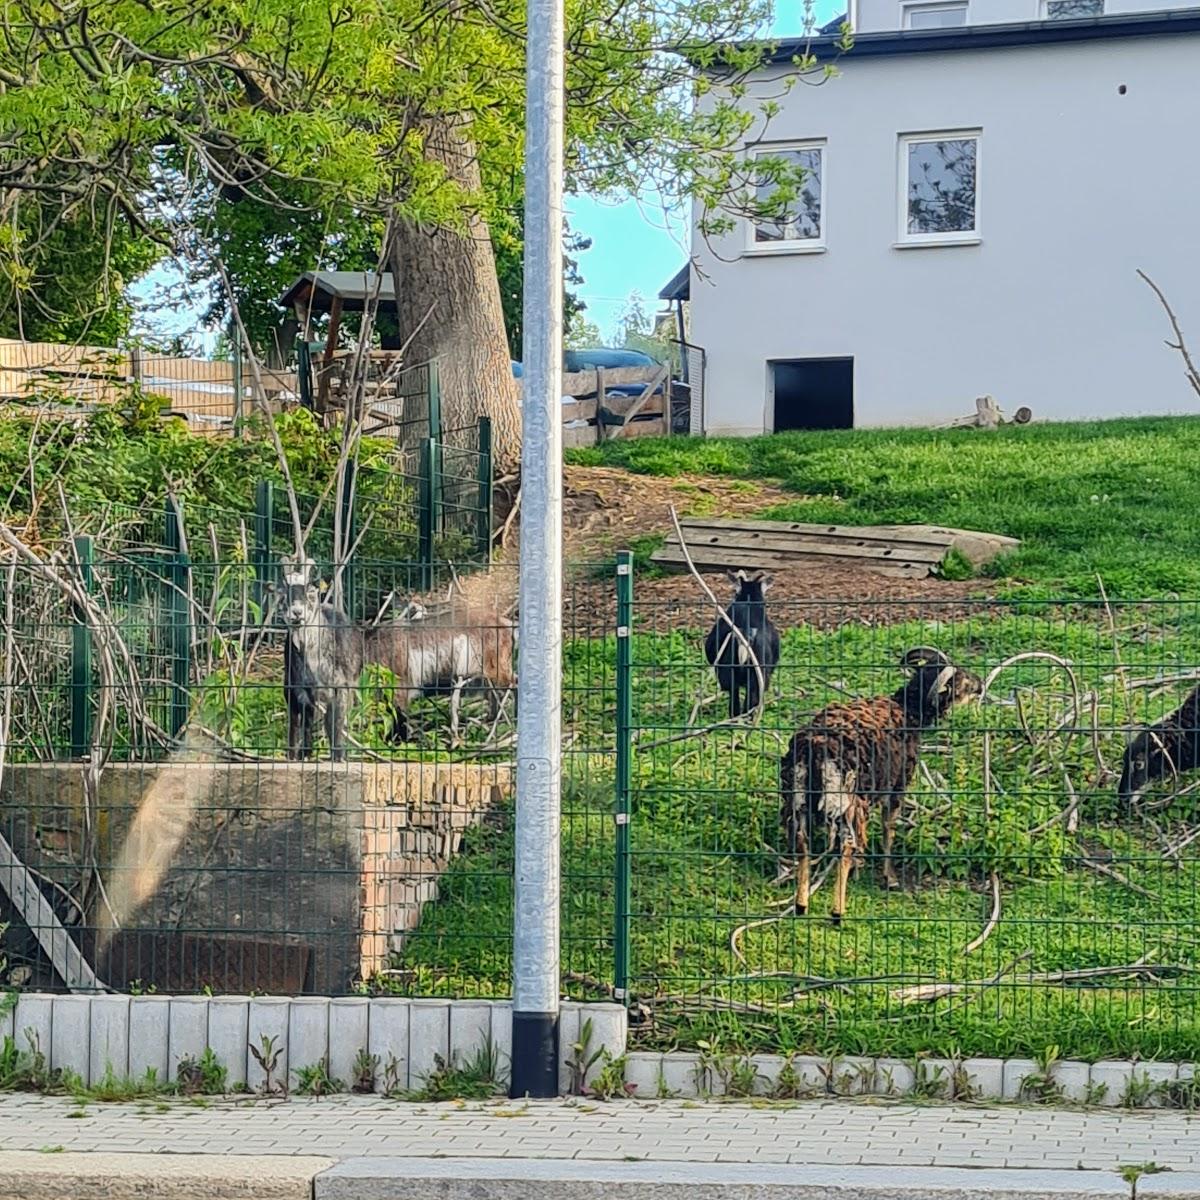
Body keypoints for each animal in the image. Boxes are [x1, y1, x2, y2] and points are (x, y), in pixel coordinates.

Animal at [282, 559, 364, 763]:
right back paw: (292, 753)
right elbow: (306, 716)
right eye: (283, 591)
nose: (296, 612)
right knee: (294, 721)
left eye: (311, 591)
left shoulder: (341, 686)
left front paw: (339, 755)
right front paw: (304, 753)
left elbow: (336, 720)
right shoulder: (298, 686)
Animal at [777, 652, 984, 921]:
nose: (981, 684)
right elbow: (889, 828)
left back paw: (801, 904)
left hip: (798, 798)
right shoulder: (897, 785)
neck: (907, 709)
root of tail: (815, 751)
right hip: (846, 798)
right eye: (961, 679)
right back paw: (837, 911)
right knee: (846, 843)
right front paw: (890, 878)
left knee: (803, 841)